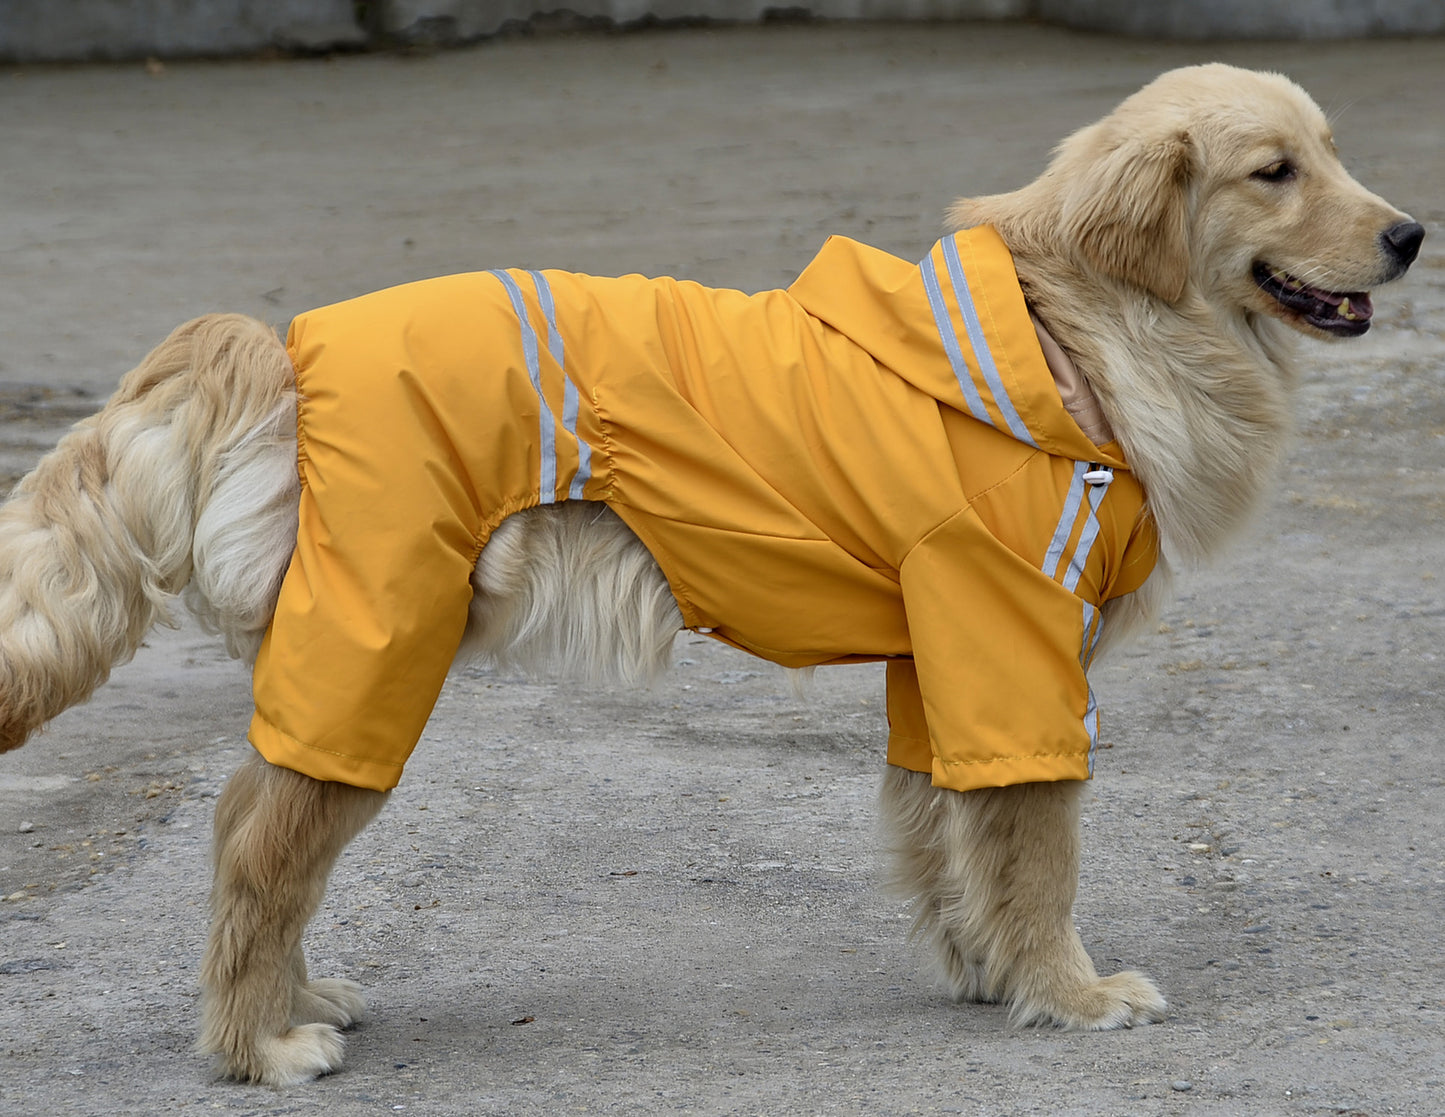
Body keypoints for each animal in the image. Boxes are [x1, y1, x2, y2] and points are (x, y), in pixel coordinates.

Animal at [0, 63, 1421, 1080]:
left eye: (1332, 152)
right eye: (1273, 172)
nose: (1411, 234)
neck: (1072, 334)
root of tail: (281, 343)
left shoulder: (940, 658)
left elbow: (947, 828)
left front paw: (980, 968)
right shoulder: (1009, 643)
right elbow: (1036, 851)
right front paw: (1068, 993)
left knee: (256, 830)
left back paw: (297, 996)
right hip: (375, 652)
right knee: (259, 847)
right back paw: (259, 1043)